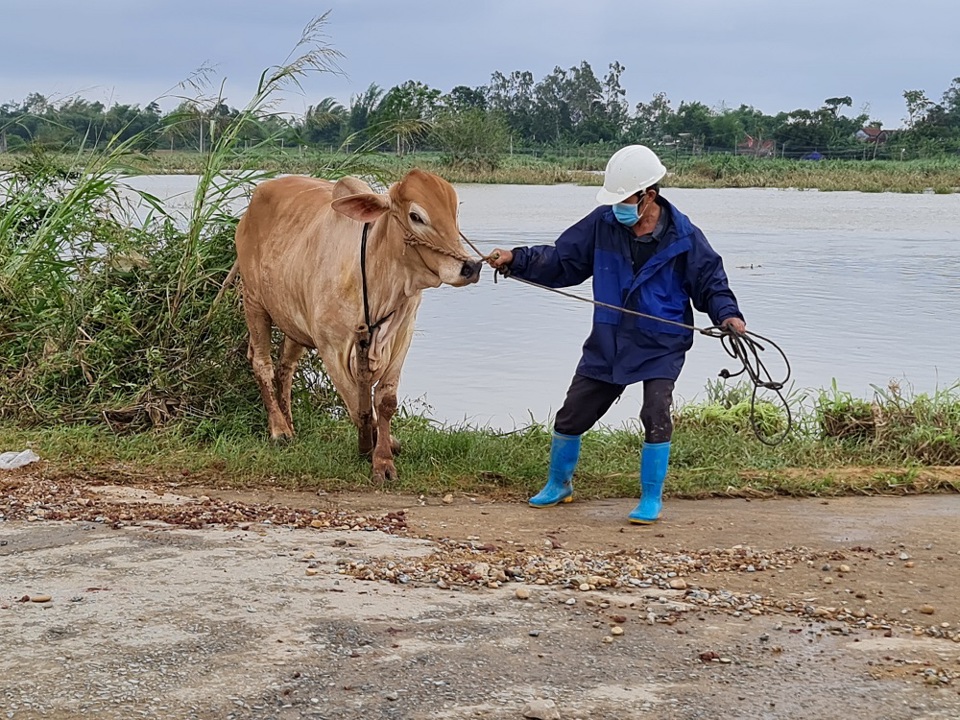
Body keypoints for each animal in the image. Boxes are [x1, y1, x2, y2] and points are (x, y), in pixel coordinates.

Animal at [234, 169, 480, 480]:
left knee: (285, 367)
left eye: (454, 213)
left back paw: (290, 423)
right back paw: (279, 430)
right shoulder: (331, 346)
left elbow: (385, 402)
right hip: (254, 301)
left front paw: (385, 456)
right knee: (262, 363)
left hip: (293, 322)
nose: (471, 266)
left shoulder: (401, 336)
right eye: (416, 216)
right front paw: (368, 447)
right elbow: (357, 407)